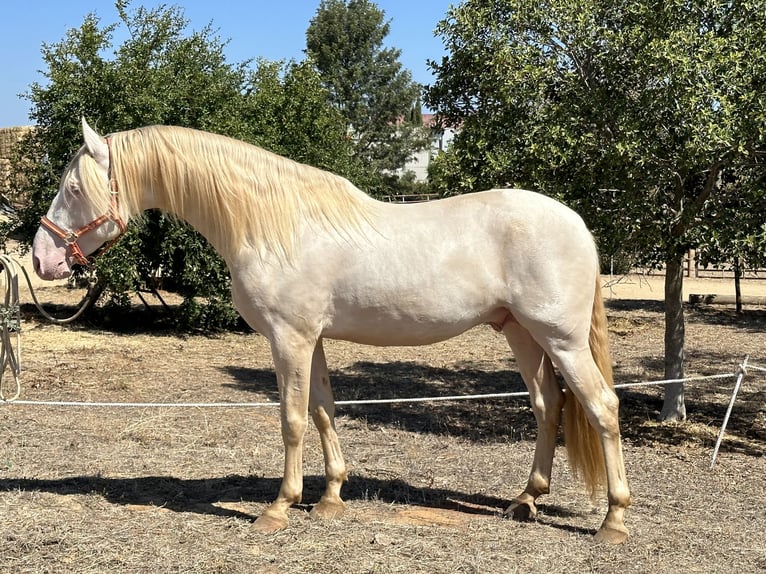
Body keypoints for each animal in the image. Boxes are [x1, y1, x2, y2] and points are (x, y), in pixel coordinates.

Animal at [33, 118, 632, 544]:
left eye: (74, 188)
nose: (41, 260)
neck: (273, 225)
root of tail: (577, 223)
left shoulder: (289, 339)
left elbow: (293, 420)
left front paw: (279, 507)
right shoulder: (311, 340)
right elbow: (323, 410)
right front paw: (329, 499)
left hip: (560, 339)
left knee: (601, 406)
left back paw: (613, 522)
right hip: (521, 334)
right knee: (548, 406)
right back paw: (525, 502)